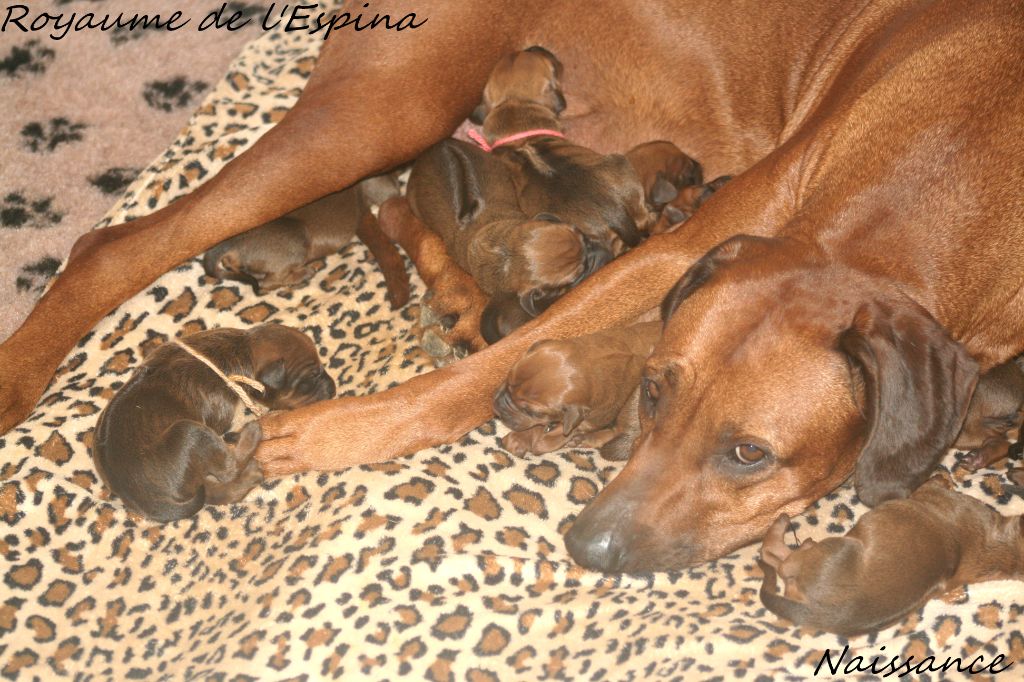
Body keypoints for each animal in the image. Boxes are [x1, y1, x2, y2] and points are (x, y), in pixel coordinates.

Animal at [92, 324, 335, 522]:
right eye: (312, 377)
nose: (333, 388)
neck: (240, 349)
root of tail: (146, 500)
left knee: (213, 492)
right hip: (189, 432)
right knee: (228, 469)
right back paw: (252, 434)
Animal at [494, 321, 660, 459]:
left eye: (532, 412)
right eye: (508, 379)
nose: (497, 407)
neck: (590, 363)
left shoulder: (589, 420)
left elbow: (556, 432)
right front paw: (521, 438)